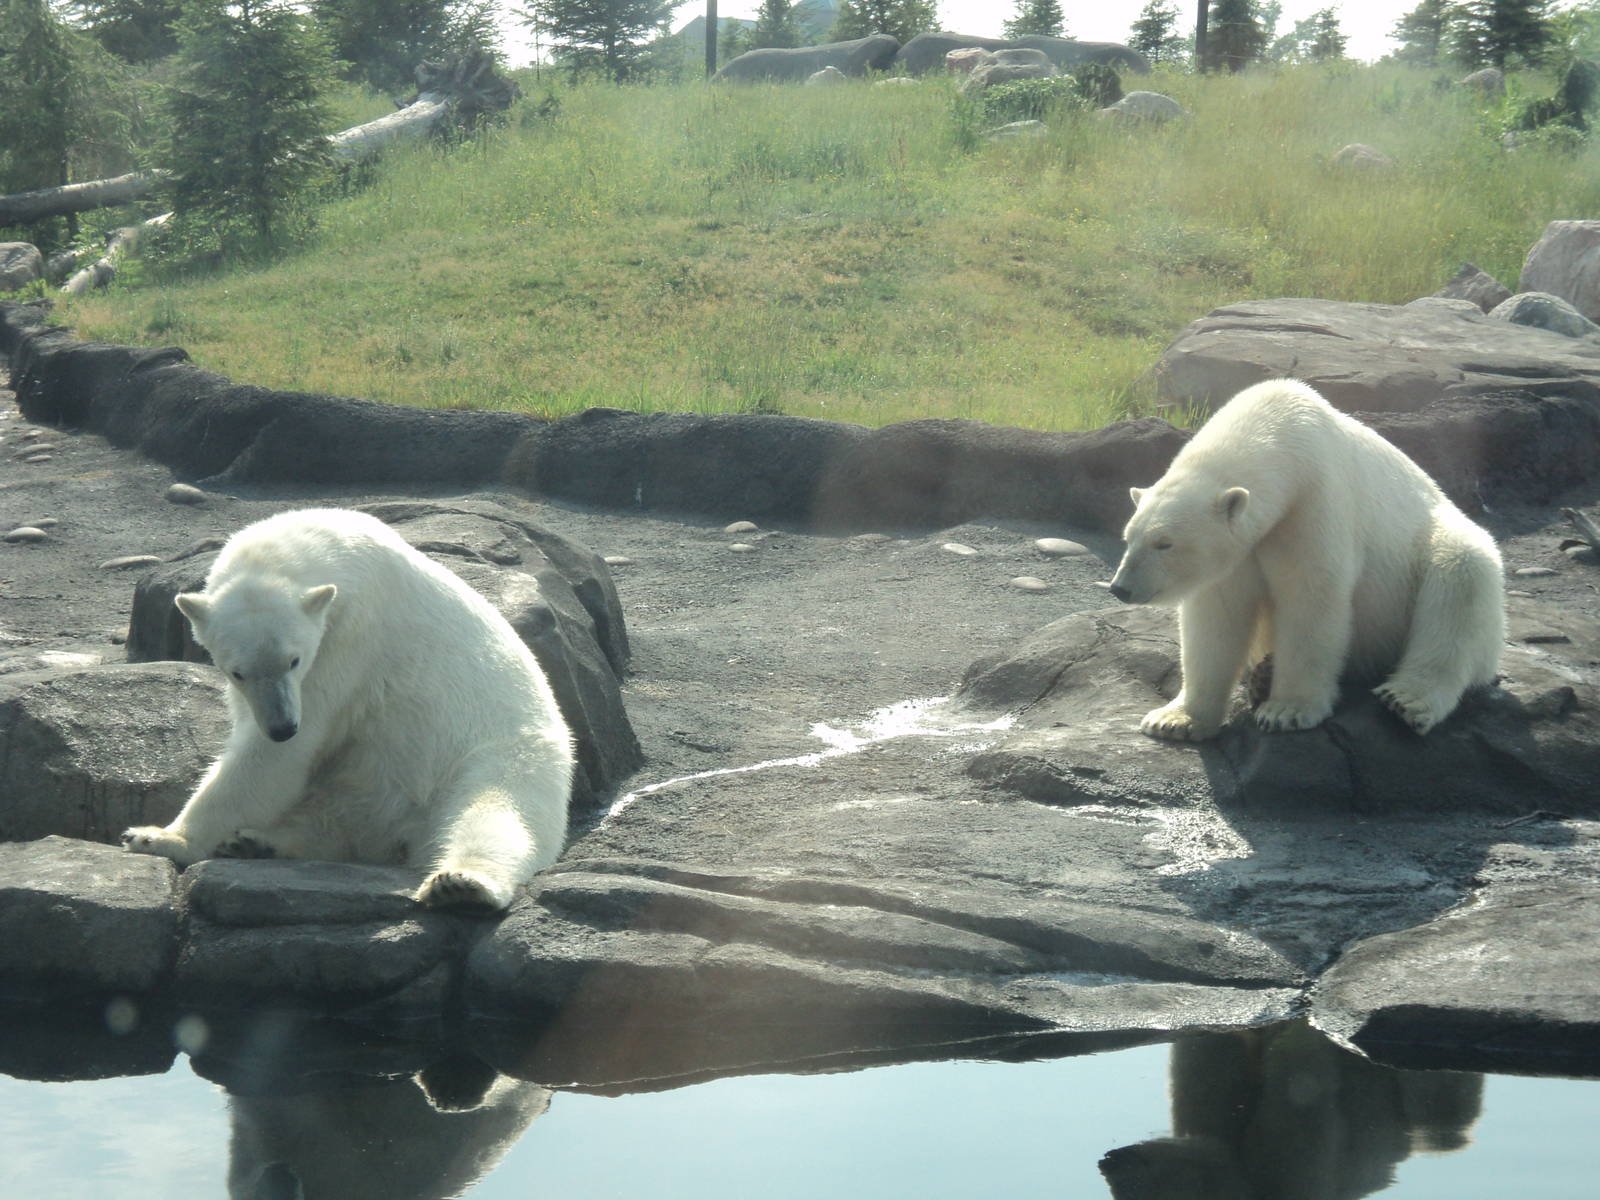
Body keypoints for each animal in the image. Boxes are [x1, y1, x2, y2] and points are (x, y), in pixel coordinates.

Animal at [122, 507, 574, 912]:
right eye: (237, 672)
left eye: (294, 660)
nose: (283, 726)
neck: (329, 543)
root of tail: (409, 834)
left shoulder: (348, 642)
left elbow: (279, 756)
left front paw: (156, 837)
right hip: (365, 781)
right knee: (333, 816)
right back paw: (256, 842)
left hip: (499, 757)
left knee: (494, 813)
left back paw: (462, 884)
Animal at [1108, 378, 1504, 741]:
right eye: (1128, 538)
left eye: (1164, 543)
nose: (1121, 588)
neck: (1278, 425)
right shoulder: (1240, 552)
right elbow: (1217, 615)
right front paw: (1174, 720)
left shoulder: (1312, 502)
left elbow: (1310, 596)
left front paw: (1286, 711)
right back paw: (1262, 675)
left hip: (1432, 548)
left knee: (1461, 576)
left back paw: (1406, 699)